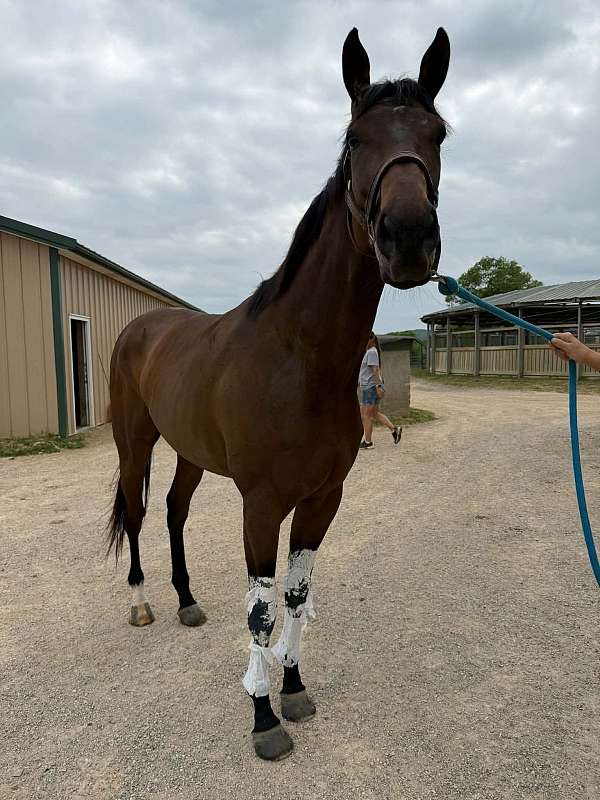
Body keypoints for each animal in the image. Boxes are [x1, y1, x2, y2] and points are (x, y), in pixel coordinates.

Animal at [107, 26, 450, 761]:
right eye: (355, 138)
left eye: (438, 133)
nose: (408, 238)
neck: (299, 358)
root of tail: (141, 327)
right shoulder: (262, 504)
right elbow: (262, 610)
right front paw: (263, 719)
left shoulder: (322, 499)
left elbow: (295, 596)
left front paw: (292, 689)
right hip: (134, 440)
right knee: (140, 511)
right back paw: (142, 602)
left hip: (189, 453)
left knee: (175, 510)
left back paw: (185, 600)